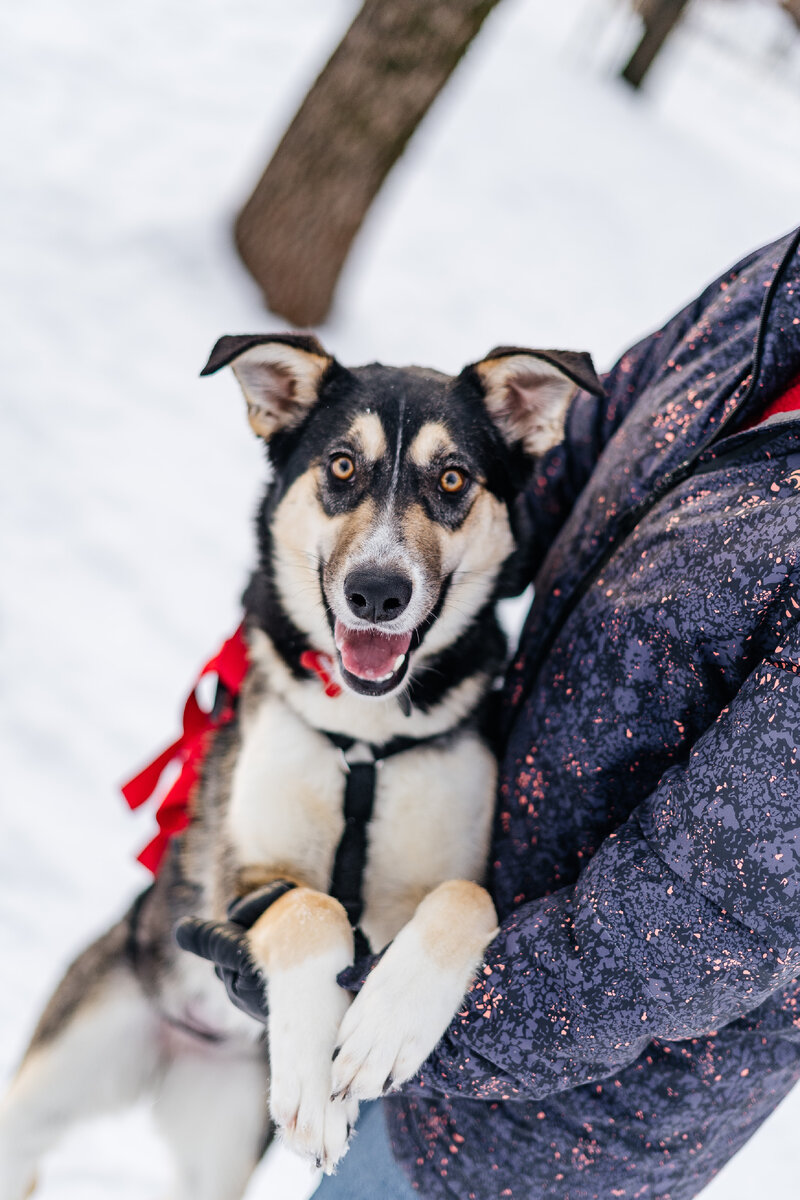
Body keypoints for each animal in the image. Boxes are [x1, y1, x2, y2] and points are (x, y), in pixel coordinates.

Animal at [0, 331, 599, 1200]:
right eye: (342, 466)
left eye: (453, 478)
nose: (376, 593)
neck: (364, 740)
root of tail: (177, 1056)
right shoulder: (242, 874)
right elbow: (312, 907)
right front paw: (317, 1075)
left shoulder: (452, 873)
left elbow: (465, 897)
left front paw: (386, 1023)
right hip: (61, 1072)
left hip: (219, 1147)